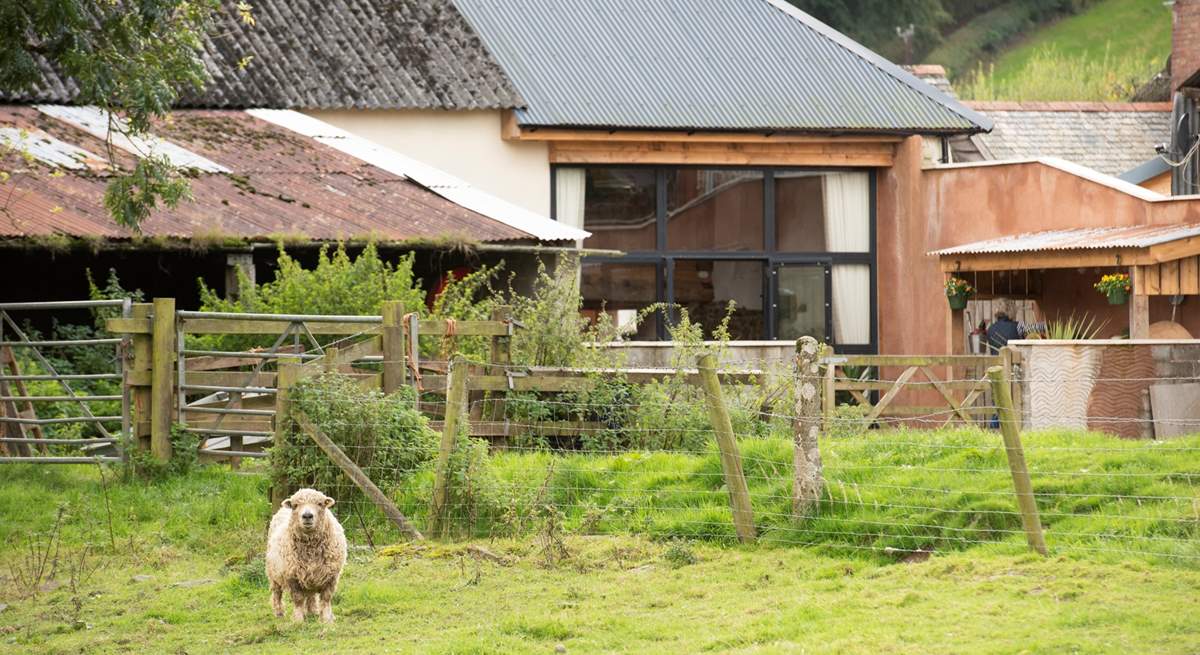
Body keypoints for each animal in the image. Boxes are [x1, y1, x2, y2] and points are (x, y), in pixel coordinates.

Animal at [266, 487, 348, 619]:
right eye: (295, 505)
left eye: (320, 504)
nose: (307, 516)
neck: (311, 548)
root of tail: (281, 509)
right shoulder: (292, 577)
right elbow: (298, 599)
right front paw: (298, 619)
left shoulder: (331, 577)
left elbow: (326, 599)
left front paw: (327, 619)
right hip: (273, 573)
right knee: (277, 592)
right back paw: (279, 612)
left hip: (310, 575)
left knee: (310, 595)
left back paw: (312, 611)